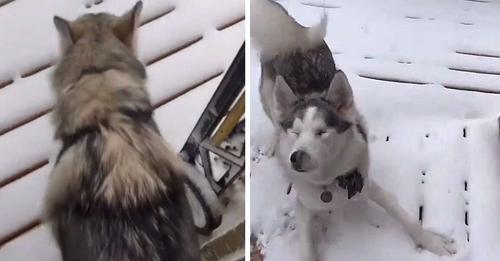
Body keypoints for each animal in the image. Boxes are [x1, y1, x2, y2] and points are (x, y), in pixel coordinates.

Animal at [252, 0, 458, 258]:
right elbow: (307, 245)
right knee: (274, 118)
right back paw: (272, 142)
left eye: (322, 131)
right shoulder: (303, 205)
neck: (329, 184)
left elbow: (403, 214)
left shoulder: (366, 183)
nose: (296, 157)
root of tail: (293, 40)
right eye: (295, 133)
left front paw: (431, 241)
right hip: (268, 96)